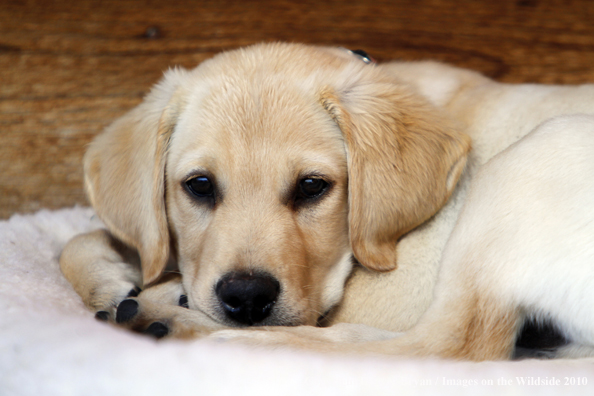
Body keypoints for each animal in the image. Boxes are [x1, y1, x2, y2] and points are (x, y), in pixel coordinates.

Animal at [59, 42, 592, 358]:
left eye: (312, 187)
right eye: (200, 186)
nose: (246, 298)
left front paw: (160, 297)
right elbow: (79, 241)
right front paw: (111, 280)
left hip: (535, 155)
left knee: (442, 346)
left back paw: (173, 321)